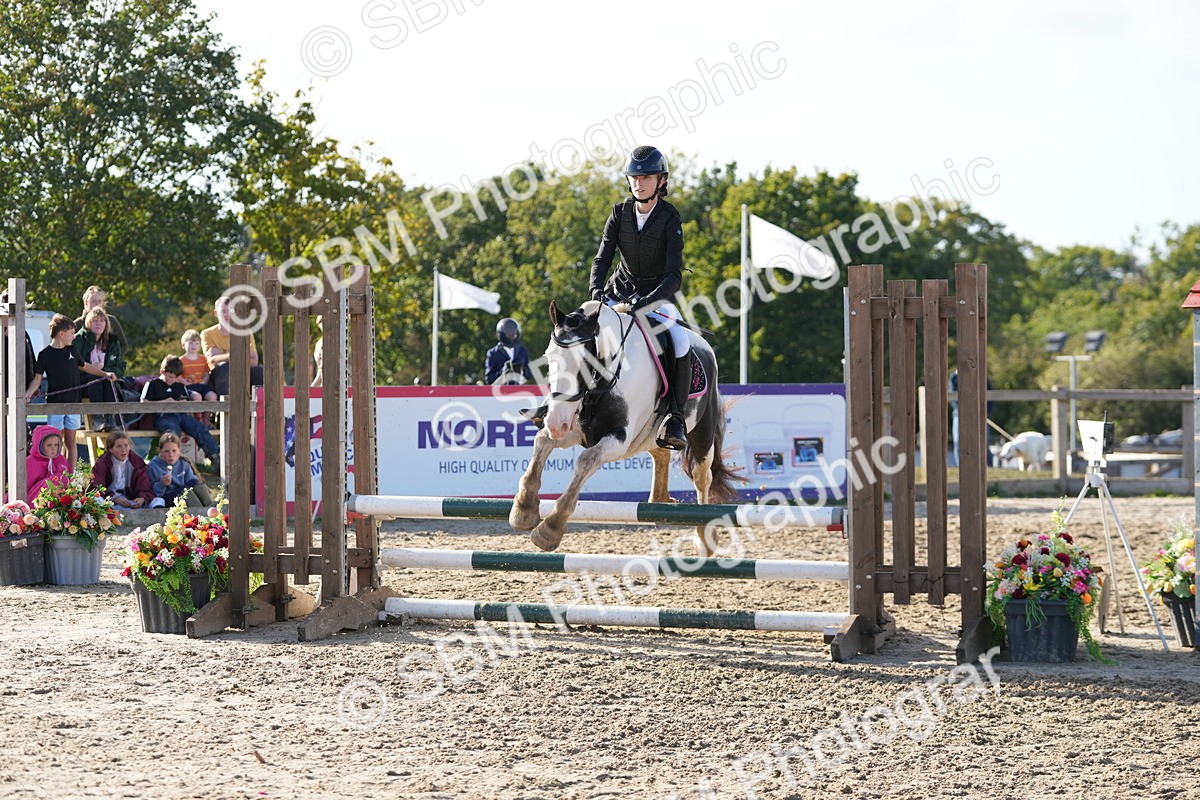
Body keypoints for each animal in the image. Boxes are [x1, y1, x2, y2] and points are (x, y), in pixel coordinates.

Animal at [509, 299, 742, 551]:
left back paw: (704, 540)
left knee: (702, 479)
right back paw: (660, 500)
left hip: (702, 433)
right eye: (549, 357)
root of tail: (706, 348)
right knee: (661, 454)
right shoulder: (576, 430)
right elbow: (542, 441)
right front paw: (523, 510)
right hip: (647, 436)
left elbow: (586, 460)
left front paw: (551, 528)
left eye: (585, 362)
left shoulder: (618, 438)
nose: (556, 422)